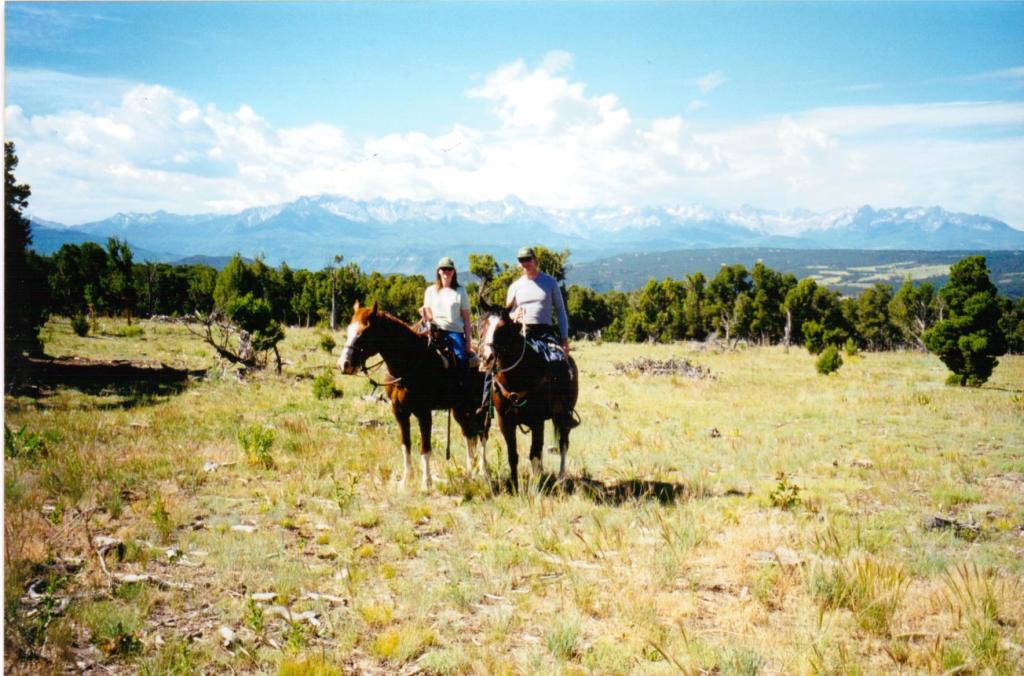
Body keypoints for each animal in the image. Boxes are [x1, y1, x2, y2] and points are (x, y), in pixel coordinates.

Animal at [338, 301, 489, 490]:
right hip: (459, 409)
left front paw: (426, 483)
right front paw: (406, 480)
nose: (344, 364)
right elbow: (406, 445)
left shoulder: (424, 413)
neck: (408, 363)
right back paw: (470, 472)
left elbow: (425, 448)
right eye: (349, 329)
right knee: (469, 434)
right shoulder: (399, 412)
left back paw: (483, 471)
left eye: (364, 333)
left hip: (479, 407)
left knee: (482, 434)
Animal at [479, 306, 579, 492]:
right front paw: (514, 486)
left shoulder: (537, 421)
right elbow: (513, 454)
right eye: (481, 325)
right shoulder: (505, 421)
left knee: (563, 444)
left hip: (563, 418)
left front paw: (535, 488)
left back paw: (561, 479)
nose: (486, 358)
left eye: (503, 328)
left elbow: (534, 454)